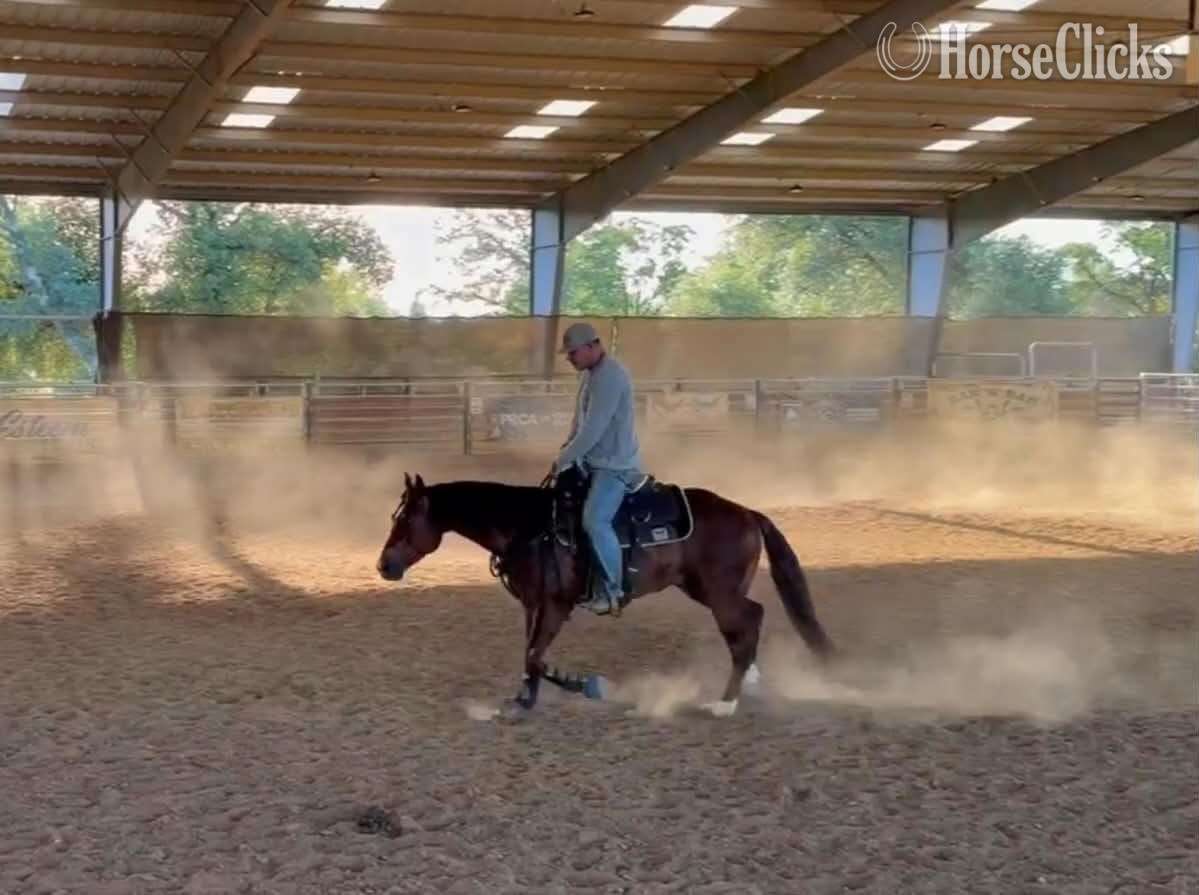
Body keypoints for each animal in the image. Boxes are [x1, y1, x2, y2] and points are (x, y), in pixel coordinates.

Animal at [375, 471, 836, 717]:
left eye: (406, 521)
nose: (384, 566)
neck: (530, 526)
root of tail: (748, 512)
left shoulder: (556, 605)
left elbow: (536, 655)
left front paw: (583, 685)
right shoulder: (532, 604)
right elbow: (529, 654)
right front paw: (525, 698)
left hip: (719, 592)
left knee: (745, 626)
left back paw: (725, 703)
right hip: (706, 589)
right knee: (750, 619)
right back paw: (750, 684)